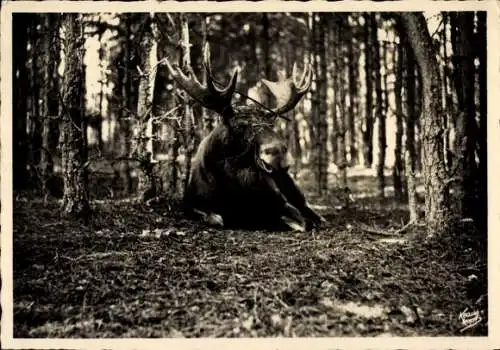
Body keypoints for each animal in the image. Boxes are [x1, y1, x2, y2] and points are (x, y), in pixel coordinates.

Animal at [164, 45, 326, 232]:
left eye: (271, 124)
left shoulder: (277, 200)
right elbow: (214, 218)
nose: (278, 152)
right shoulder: (191, 205)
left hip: (290, 183)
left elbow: (293, 216)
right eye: (239, 126)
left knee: (306, 205)